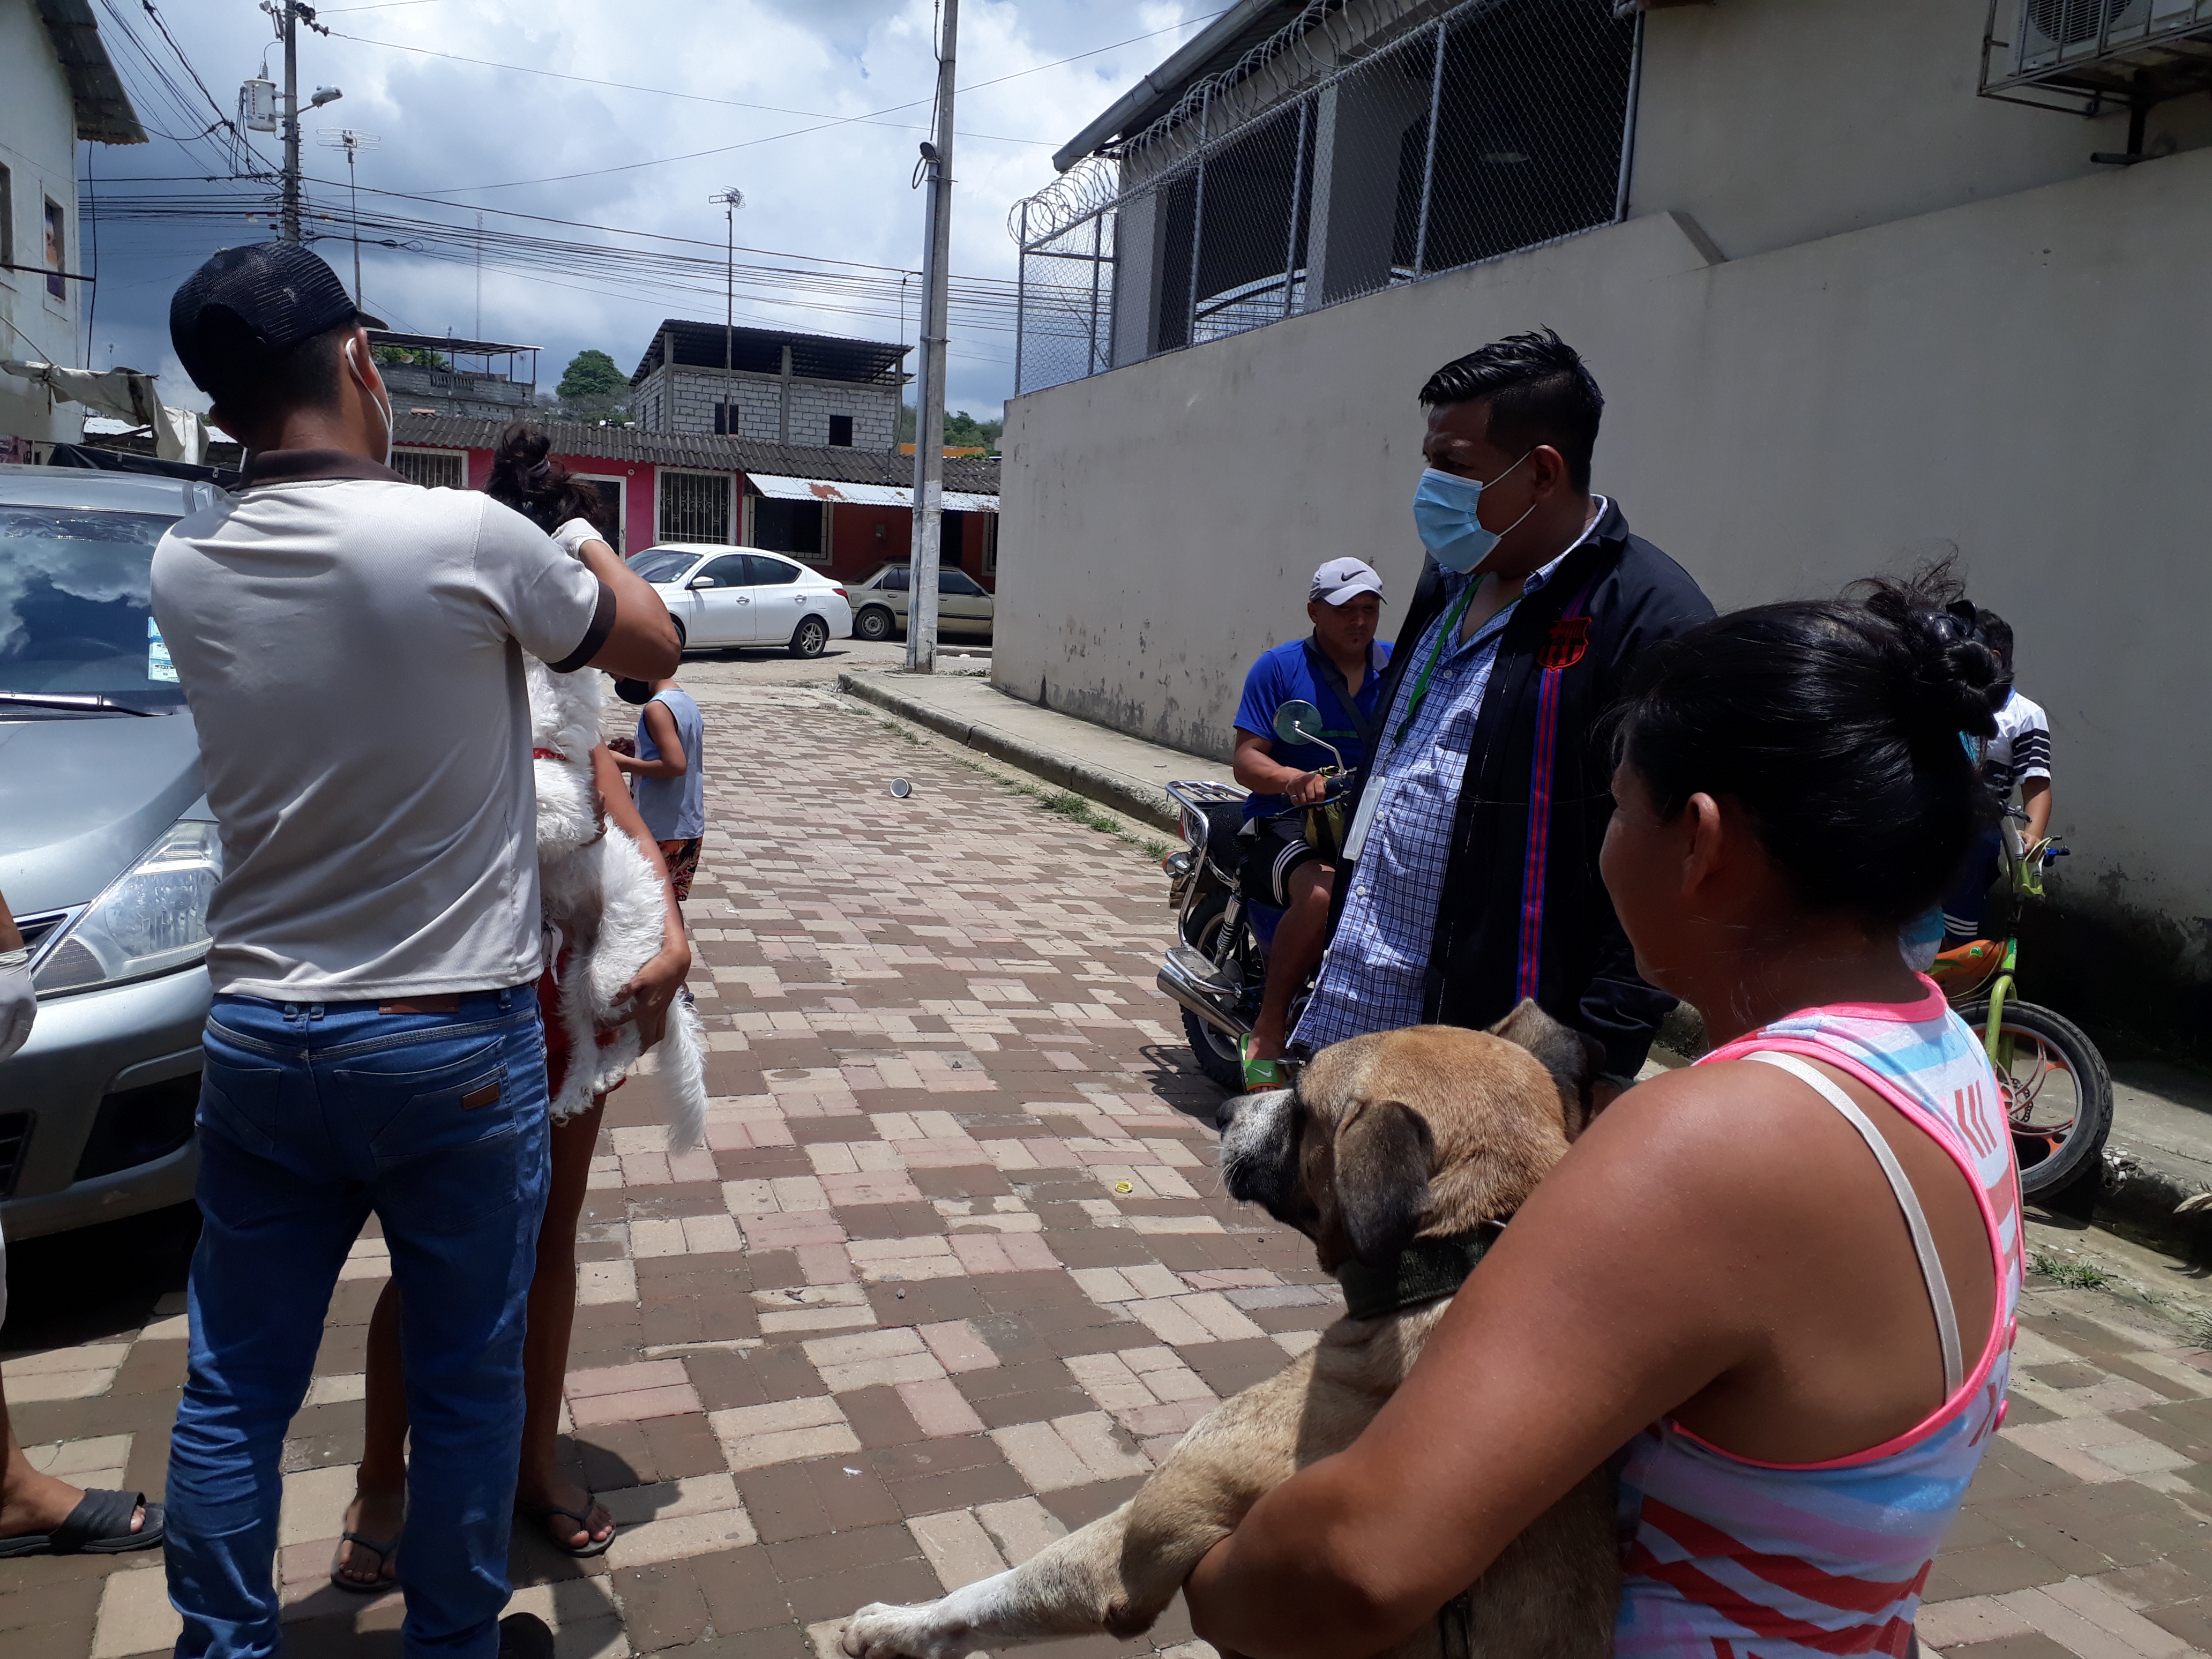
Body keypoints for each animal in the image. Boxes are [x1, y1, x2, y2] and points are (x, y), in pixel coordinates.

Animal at [839, 1001, 1620, 1659]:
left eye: (1302, 1099)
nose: (1224, 1107)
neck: (1455, 1258)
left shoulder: (1141, 1546)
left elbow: (993, 1593)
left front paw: (893, 1627)